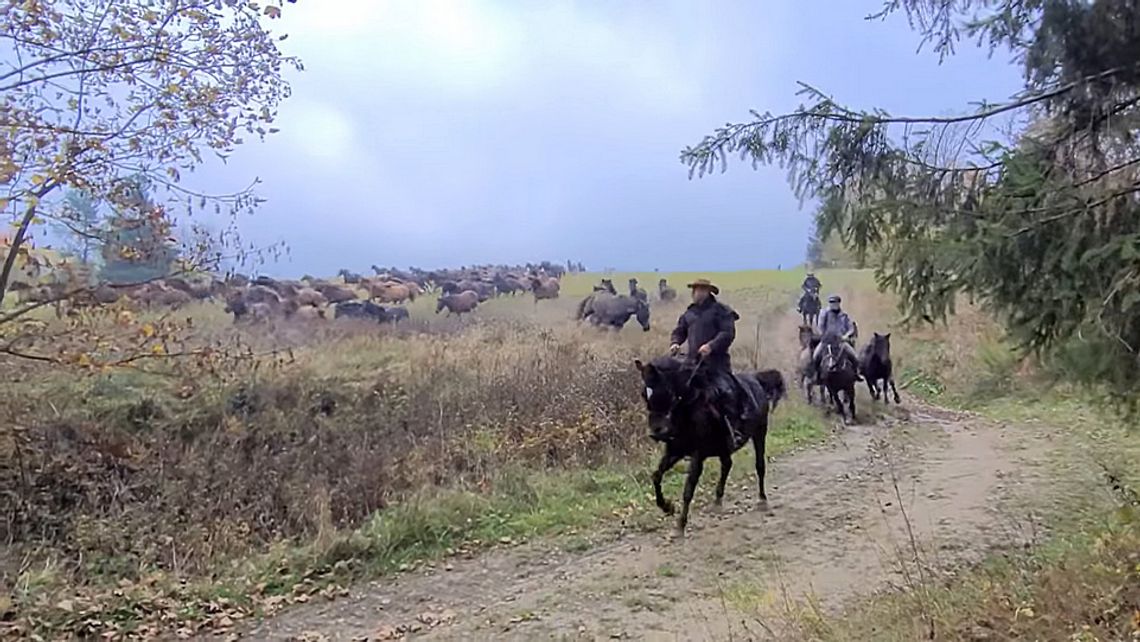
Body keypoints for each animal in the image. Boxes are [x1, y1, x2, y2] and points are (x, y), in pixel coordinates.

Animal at [633, 355, 784, 538]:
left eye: (666, 391)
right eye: (644, 394)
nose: (657, 432)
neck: (689, 409)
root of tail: (756, 379)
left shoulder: (698, 455)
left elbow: (688, 489)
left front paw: (680, 526)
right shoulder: (674, 451)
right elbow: (656, 476)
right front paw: (667, 507)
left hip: (759, 433)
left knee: (759, 466)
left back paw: (762, 500)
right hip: (724, 447)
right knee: (727, 465)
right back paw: (717, 501)